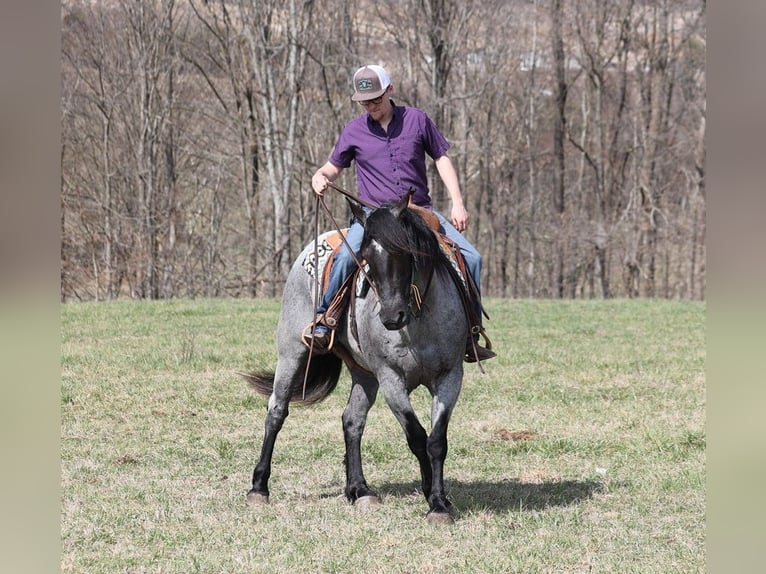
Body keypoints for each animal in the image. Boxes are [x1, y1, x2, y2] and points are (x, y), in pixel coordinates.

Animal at [240, 195, 468, 528]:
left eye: (405, 252)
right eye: (365, 259)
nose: (391, 316)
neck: (418, 323)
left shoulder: (450, 376)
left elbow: (437, 441)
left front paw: (439, 501)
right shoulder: (390, 379)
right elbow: (416, 437)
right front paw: (431, 495)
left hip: (364, 373)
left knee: (352, 420)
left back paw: (359, 490)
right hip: (293, 353)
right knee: (277, 412)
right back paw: (259, 488)